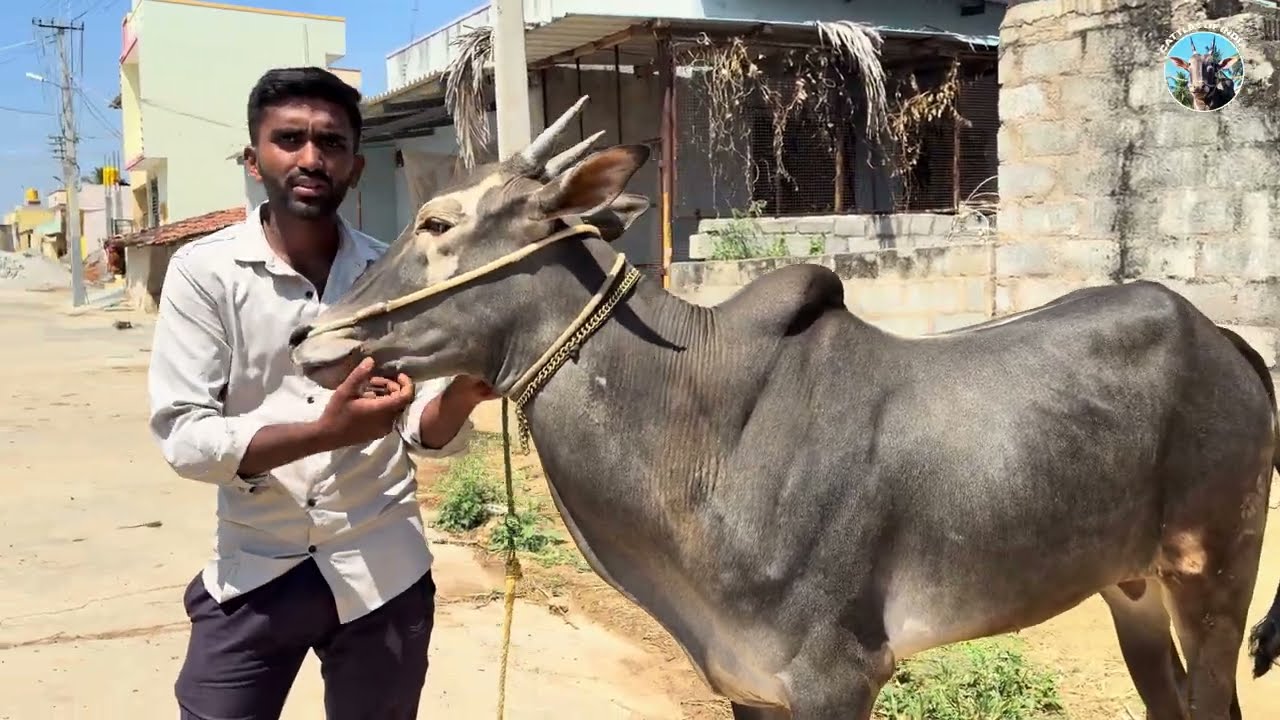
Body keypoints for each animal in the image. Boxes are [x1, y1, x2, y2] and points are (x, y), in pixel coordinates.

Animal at [288, 96, 1280, 719]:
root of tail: (1226, 342)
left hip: (1214, 575)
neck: (700, 431)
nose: (309, 335)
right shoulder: (747, 685)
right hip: (1131, 588)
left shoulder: (839, 676)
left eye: (438, 223)